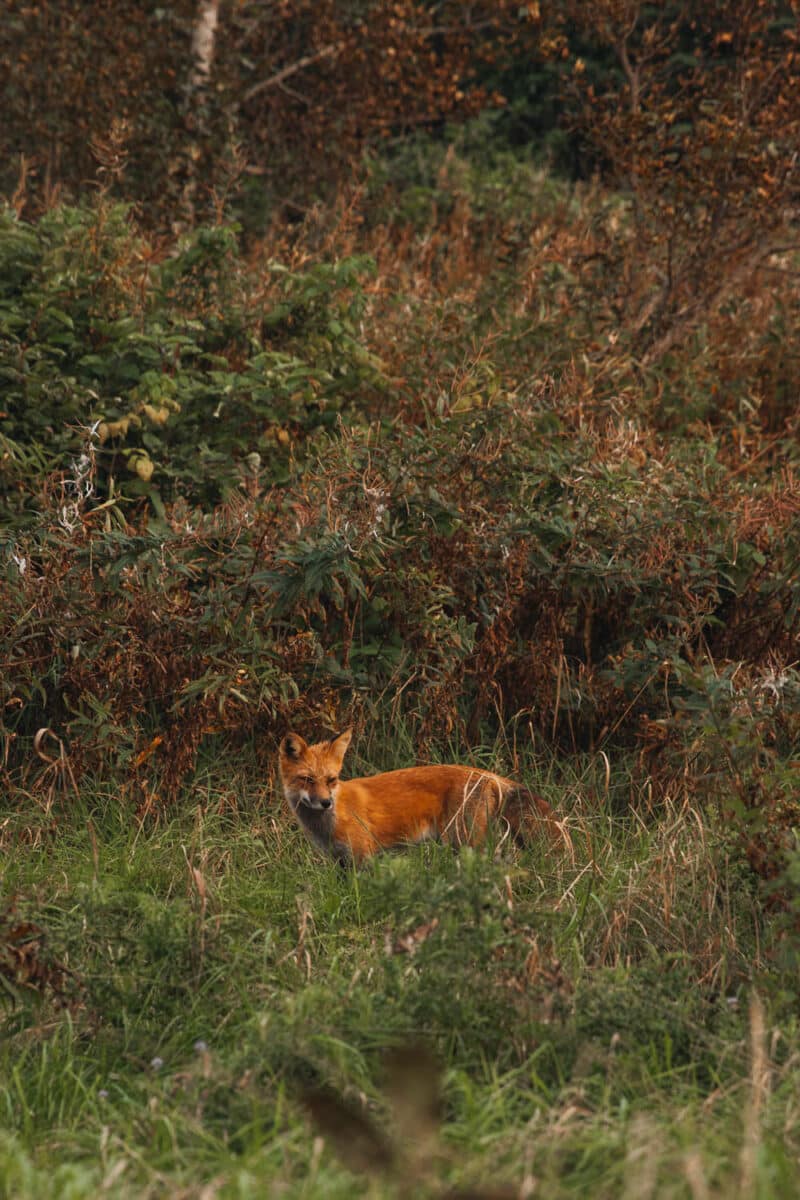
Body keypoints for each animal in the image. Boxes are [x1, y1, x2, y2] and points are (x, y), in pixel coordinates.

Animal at [278, 724, 566, 859]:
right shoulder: (339, 861)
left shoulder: (363, 856)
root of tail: (486, 774)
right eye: (307, 780)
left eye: (331, 780)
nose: (325, 802)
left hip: (463, 841)